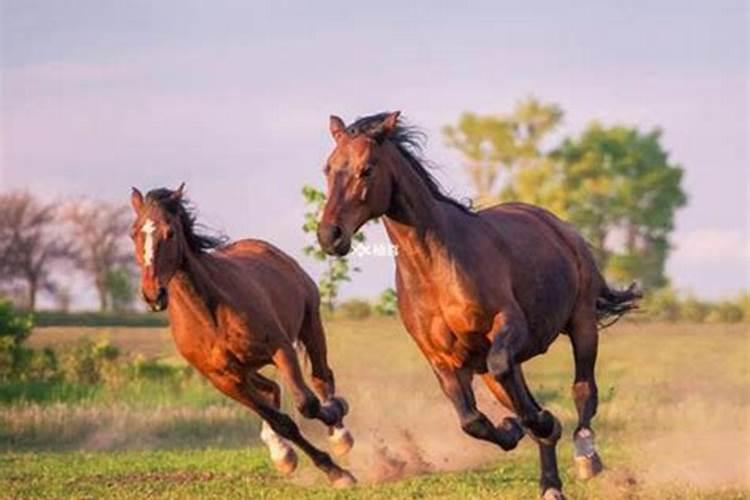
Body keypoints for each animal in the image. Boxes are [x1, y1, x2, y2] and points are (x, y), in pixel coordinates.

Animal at [131, 186, 356, 486]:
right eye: (134, 233)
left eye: (170, 233)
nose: (152, 294)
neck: (210, 315)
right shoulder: (224, 380)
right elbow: (282, 421)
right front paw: (331, 470)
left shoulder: (281, 349)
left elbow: (306, 403)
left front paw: (336, 443)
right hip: (247, 369)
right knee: (272, 390)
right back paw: (281, 452)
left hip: (311, 323)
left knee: (321, 377)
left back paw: (340, 433)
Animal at [318, 113, 640, 500]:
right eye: (328, 168)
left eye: (366, 170)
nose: (329, 235)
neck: (435, 268)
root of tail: (559, 227)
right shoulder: (443, 359)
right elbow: (472, 420)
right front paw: (516, 428)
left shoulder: (508, 325)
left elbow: (517, 385)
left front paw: (543, 424)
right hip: (492, 367)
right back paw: (549, 484)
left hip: (582, 324)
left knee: (584, 390)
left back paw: (585, 455)